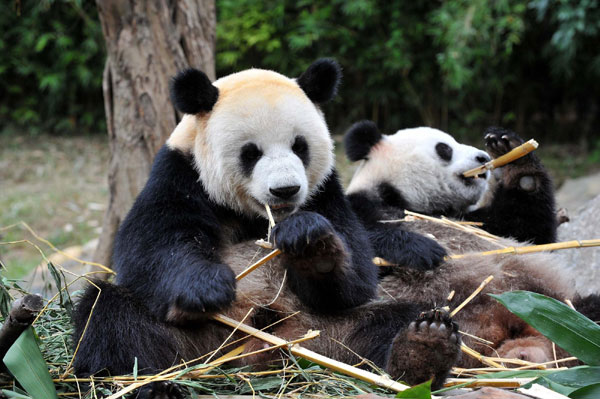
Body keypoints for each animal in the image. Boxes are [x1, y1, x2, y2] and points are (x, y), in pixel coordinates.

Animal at [72, 60, 462, 396]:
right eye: (251, 152)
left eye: (300, 146)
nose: (286, 190)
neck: (258, 215)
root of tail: (256, 355)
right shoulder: (180, 173)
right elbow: (149, 248)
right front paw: (208, 285)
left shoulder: (325, 192)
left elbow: (356, 276)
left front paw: (313, 245)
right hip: (191, 340)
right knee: (114, 323)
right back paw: (152, 388)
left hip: (324, 334)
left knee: (391, 319)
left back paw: (422, 350)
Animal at [342, 122, 600, 368]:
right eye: (444, 148)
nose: (483, 159)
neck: (406, 201)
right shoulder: (363, 205)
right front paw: (421, 249)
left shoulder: (478, 222)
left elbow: (531, 231)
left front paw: (513, 155)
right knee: (380, 327)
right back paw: (422, 349)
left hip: (556, 304)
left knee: (587, 311)